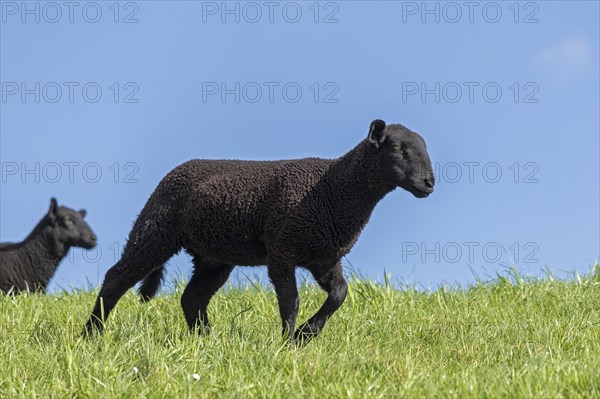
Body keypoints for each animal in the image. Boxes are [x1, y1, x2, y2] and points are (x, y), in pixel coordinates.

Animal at [84, 119, 434, 340]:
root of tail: (174, 172)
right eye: (398, 149)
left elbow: (339, 294)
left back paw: (206, 340)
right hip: (156, 230)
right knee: (117, 278)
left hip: (214, 256)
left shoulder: (324, 258)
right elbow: (290, 300)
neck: (335, 189)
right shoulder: (282, 250)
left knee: (192, 297)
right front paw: (288, 341)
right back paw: (91, 334)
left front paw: (306, 334)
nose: (429, 183)